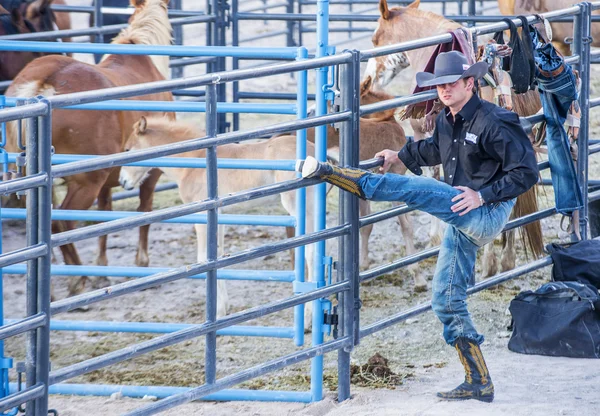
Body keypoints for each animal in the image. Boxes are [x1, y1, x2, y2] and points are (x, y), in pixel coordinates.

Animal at [4, 0, 175, 300]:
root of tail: (43, 83)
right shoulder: (150, 172)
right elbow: (145, 212)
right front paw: (142, 263)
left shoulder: (109, 180)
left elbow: (103, 218)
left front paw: (101, 267)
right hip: (85, 183)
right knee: (63, 223)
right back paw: (76, 280)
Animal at [119, 115, 318, 316]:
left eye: (127, 149)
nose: (122, 181)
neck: (194, 161)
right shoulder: (218, 215)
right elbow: (219, 255)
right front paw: (223, 308)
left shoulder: (201, 214)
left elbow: (204, 258)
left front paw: (216, 310)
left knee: (311, 249)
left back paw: (309, 311)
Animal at [360, 0, 544, 280]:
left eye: (375, 39)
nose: (367, 80)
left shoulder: (426, 133)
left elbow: (436, 176)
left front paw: (435, 237)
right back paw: (506, 260)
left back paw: (489, 263)